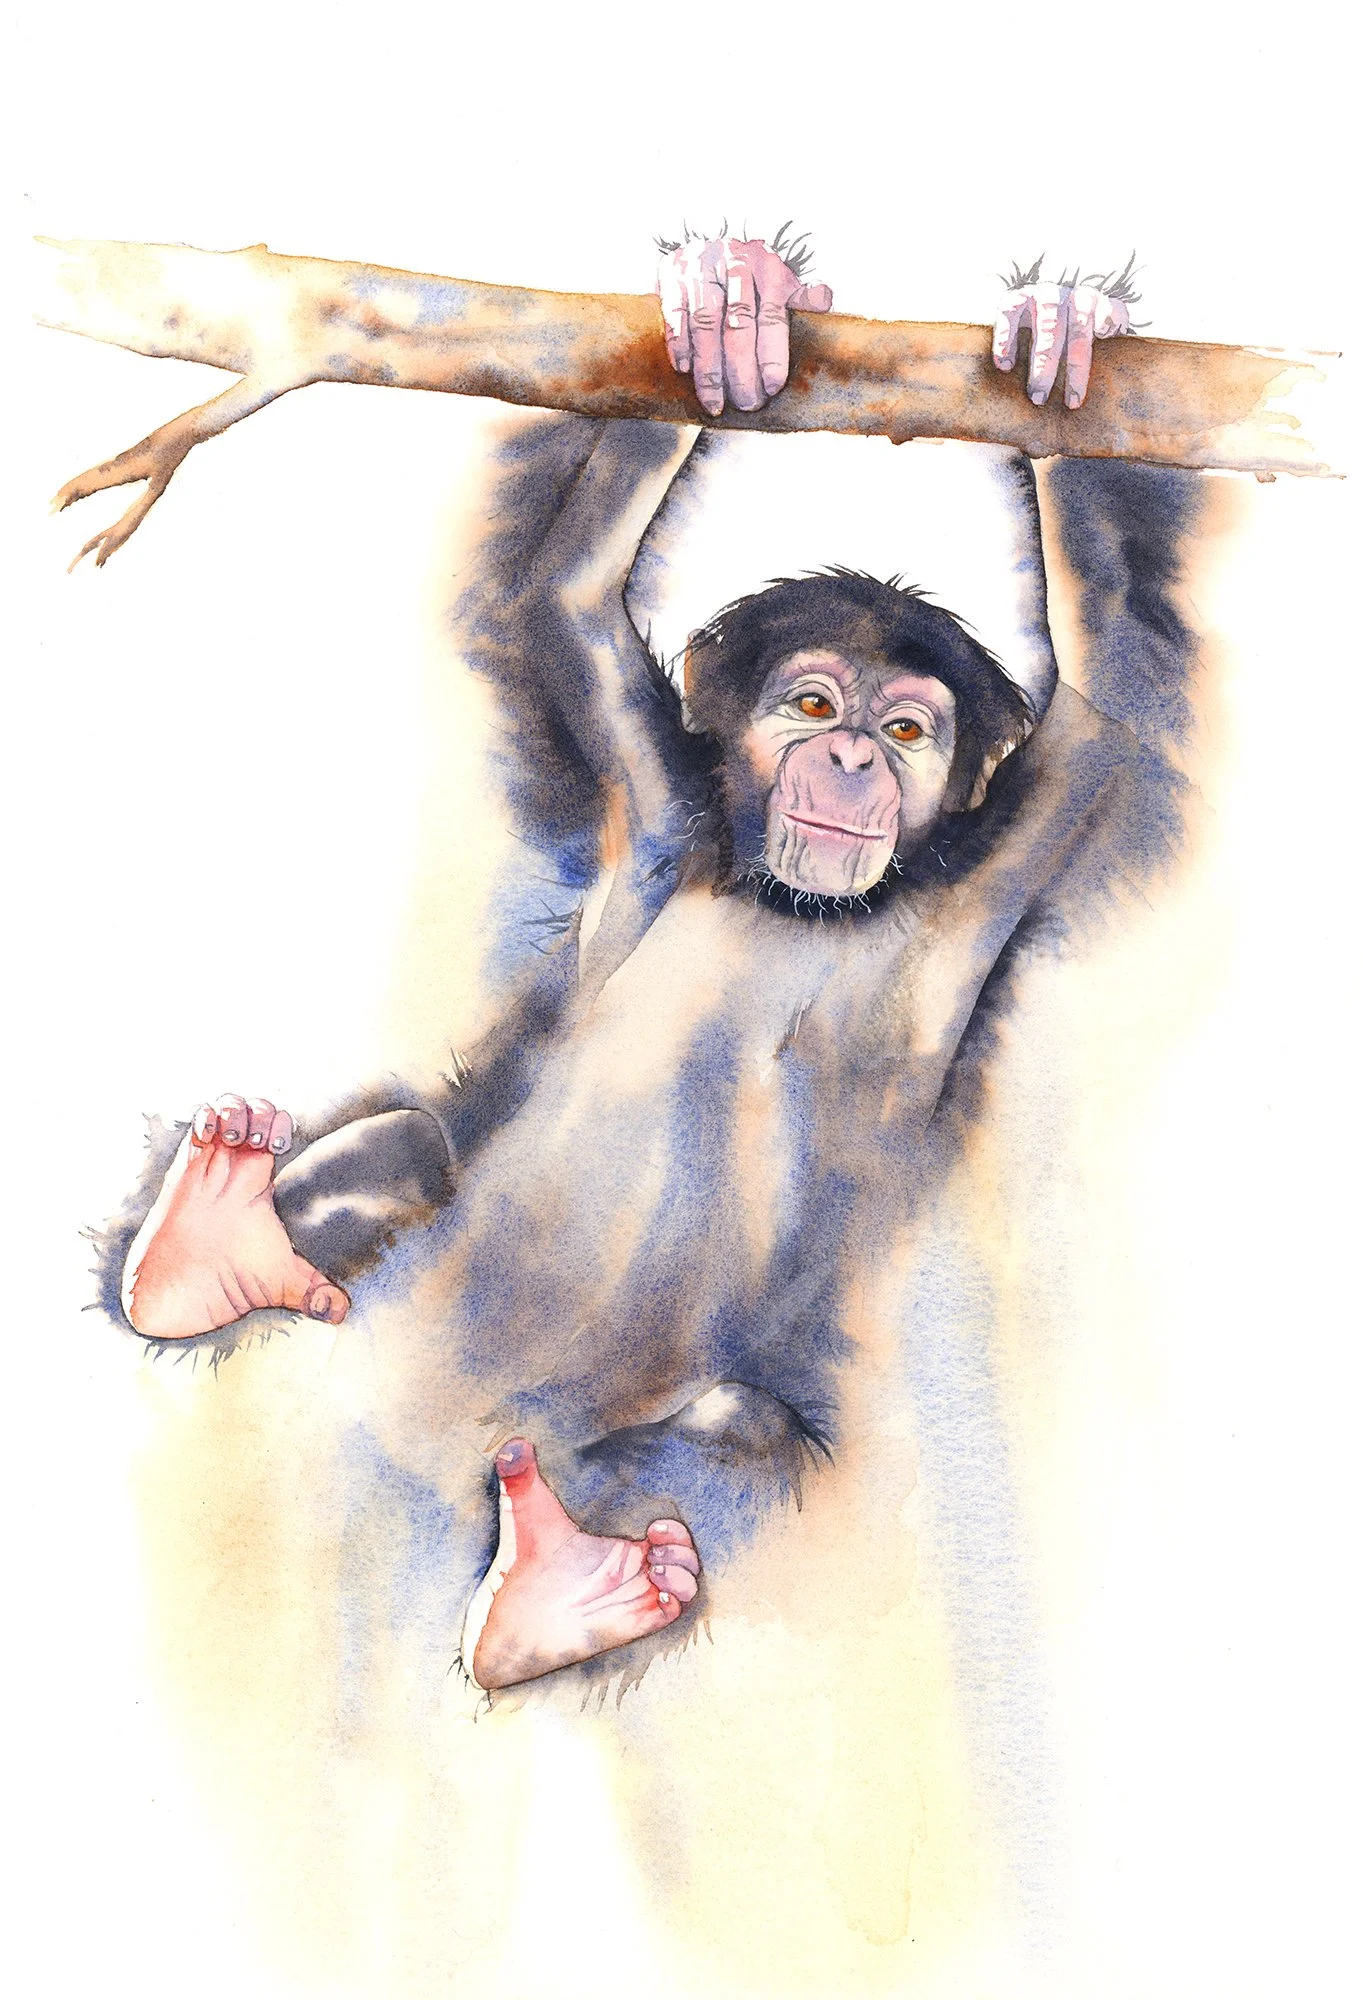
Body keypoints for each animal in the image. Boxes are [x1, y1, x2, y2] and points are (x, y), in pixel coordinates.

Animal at [96, 230, 1170, 1692]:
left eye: (906, 728)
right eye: (812, 703)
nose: (850, 758)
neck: (796, 907)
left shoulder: (1005, 855)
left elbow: (1107, 679)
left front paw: (1061, 331)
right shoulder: (651, 792)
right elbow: (568, 593)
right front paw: (729, 301)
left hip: (620, 1438)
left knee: (735, 1430)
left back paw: (559, 1593)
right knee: (406, 1149)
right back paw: (203, 1245)